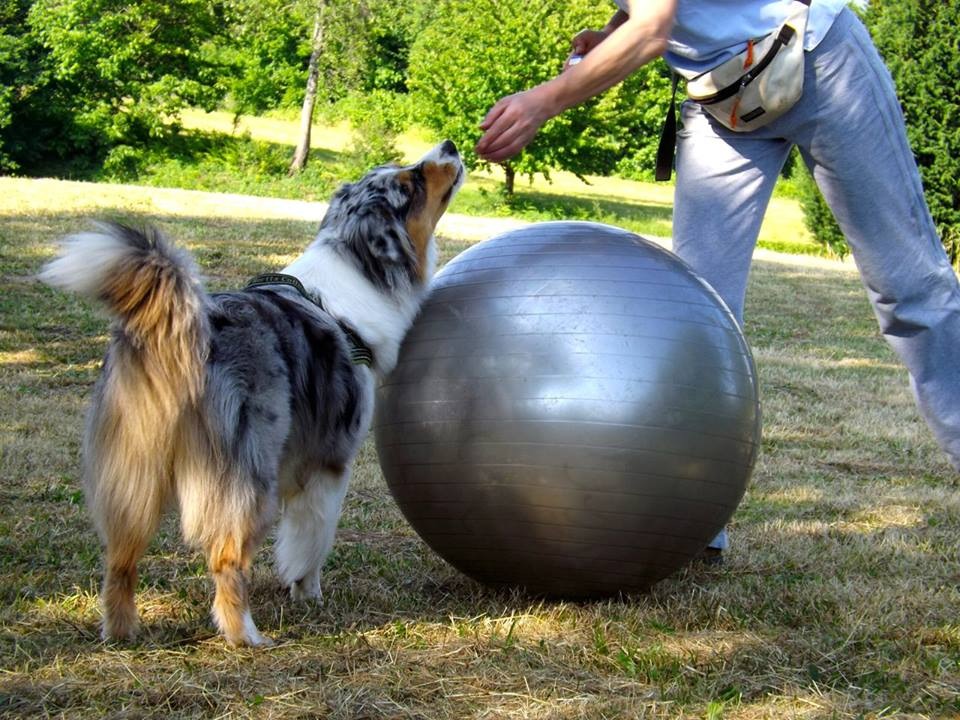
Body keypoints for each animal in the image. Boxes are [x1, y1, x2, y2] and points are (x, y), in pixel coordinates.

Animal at [41, 141, 464, 648]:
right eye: (410, 183)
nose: (451, 146)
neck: (357, 269)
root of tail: (180, 330)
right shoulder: (329, 461)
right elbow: (312, 539)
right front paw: (308, 593)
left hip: (131, 471)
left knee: (120, 559)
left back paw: (121, 632)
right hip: (247, 471)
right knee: (226, 556)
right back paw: (245, 635)